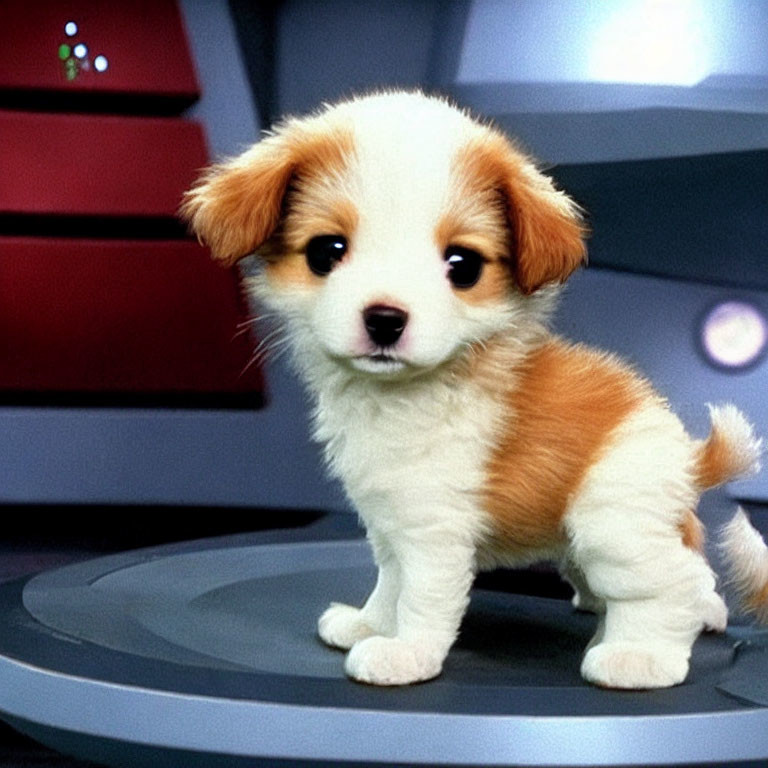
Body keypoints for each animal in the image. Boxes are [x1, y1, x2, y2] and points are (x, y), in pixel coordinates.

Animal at [183, 90, 764, 688]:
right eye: (326, 251)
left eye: (462, 266)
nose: (385, 320)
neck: (401, 395)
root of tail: (688, 452)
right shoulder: (391, 526)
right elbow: (390, 583)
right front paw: (371, 624)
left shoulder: (435, 533)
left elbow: (420, 598)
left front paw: (405, 653)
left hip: (614, 521)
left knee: (671, 583)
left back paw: (641, 656)